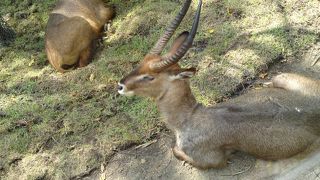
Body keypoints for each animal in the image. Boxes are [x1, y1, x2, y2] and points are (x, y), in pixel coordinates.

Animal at [117, 0, 320, 169]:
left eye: (149, 77)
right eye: (141, 63)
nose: (120, 85)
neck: (189, 118)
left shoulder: (214, 161)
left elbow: (175, 150)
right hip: (282, 77)